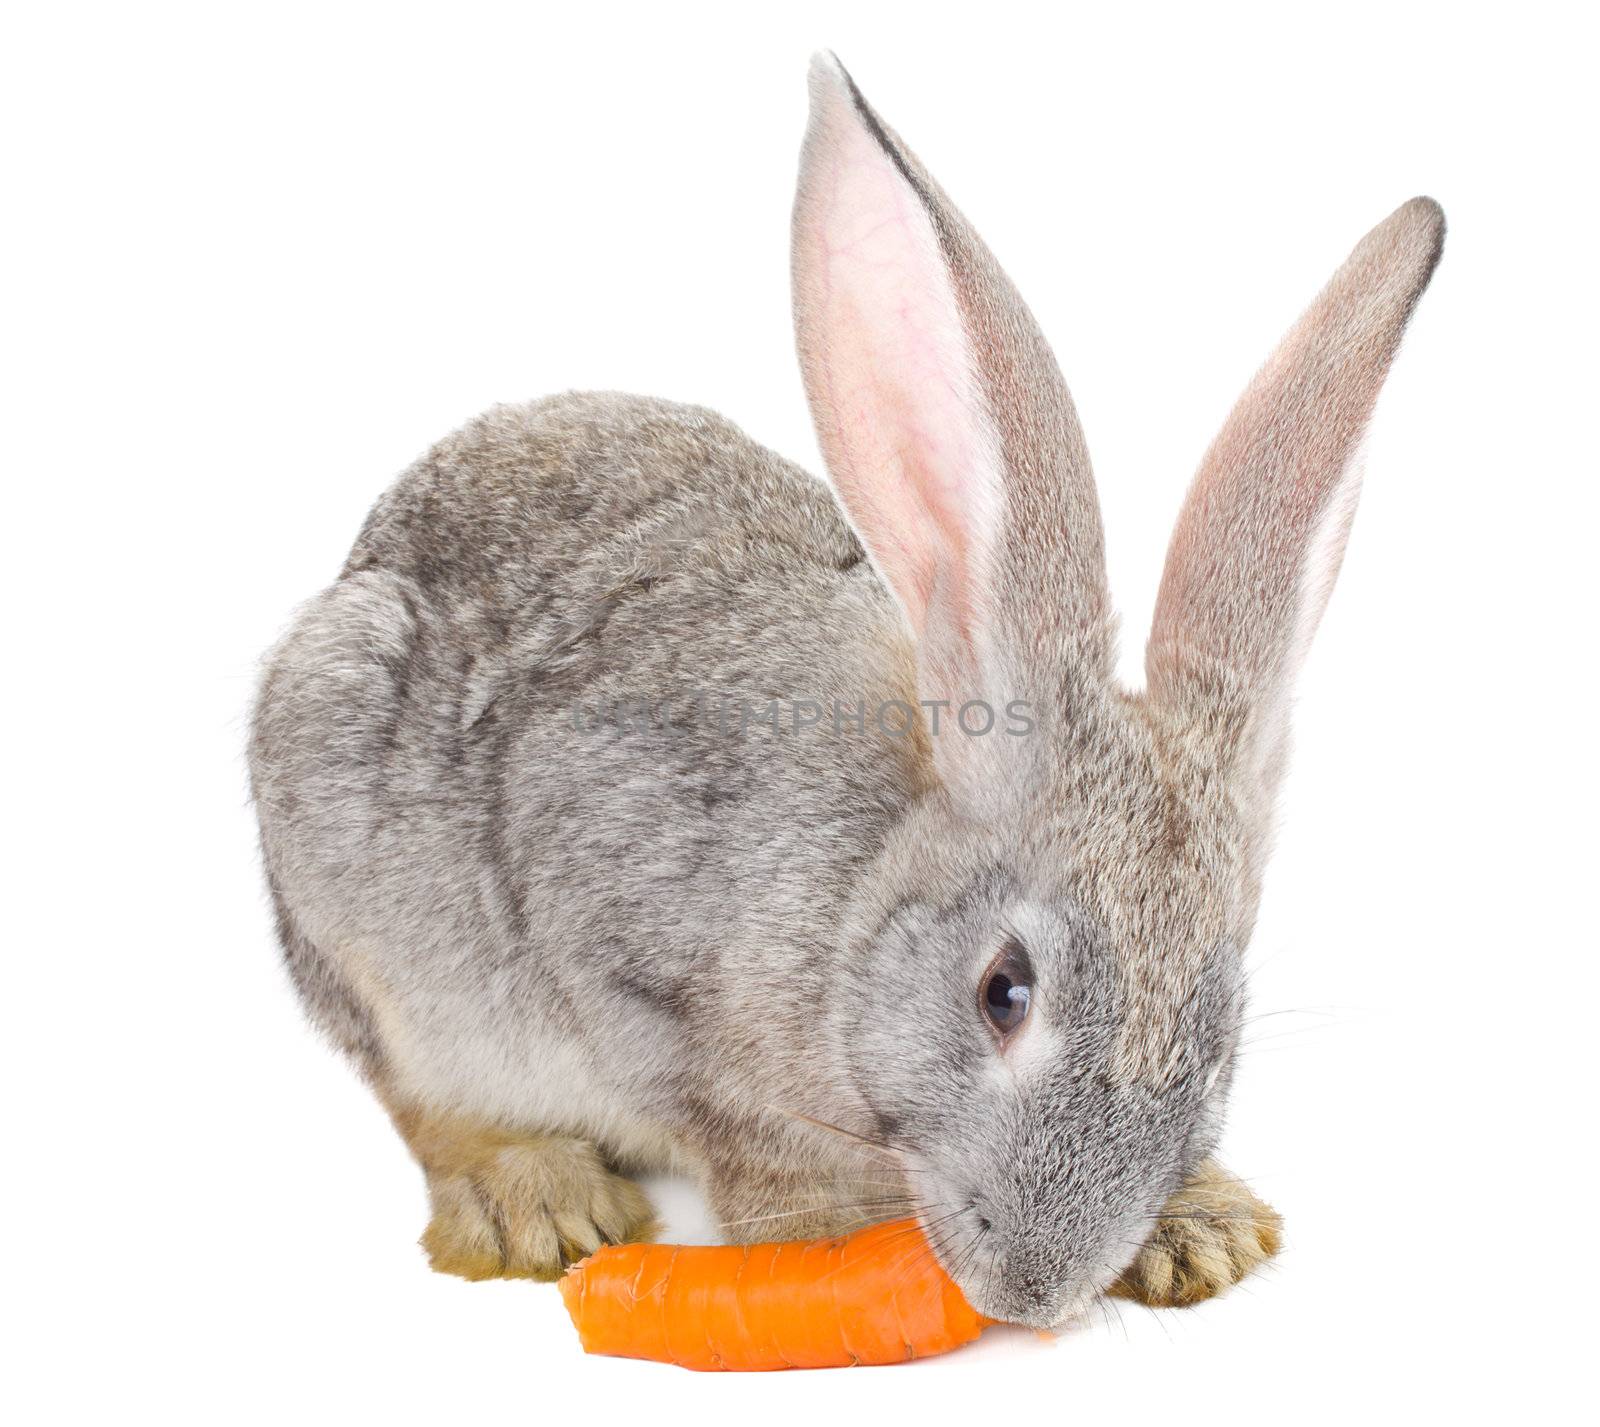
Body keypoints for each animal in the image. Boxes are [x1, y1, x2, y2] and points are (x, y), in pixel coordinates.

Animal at [246, 55, 1440, 1324]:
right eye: (1003, 990)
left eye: (1220, 1037)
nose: (1034, 1290)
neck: (865, 896)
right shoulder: (627, 956)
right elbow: (739, 1137)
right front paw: (823, 1244)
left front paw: (1203, 1229)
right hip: (353, 857)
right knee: (418, 1090)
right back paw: (533, 1199)